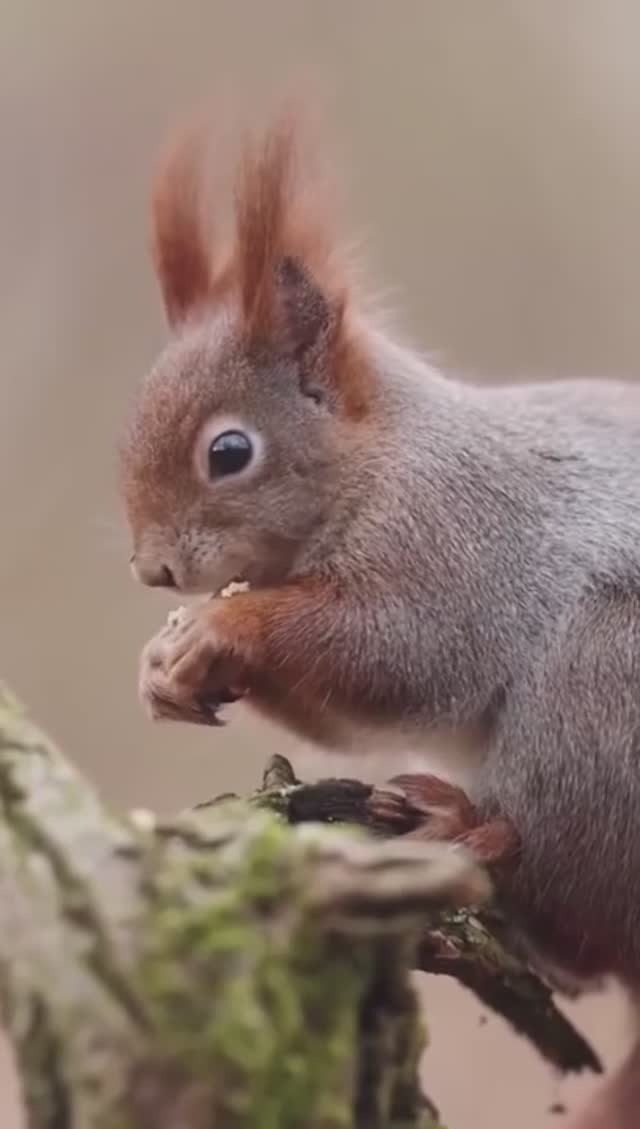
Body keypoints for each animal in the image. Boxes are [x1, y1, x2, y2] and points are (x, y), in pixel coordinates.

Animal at [120, 108, 640, 1128]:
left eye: (229, 452)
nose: (154, 568)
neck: (382, 458)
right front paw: (162, 665)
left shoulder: (453, 551)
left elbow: (393, 656)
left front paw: (220, 631)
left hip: (598, 701)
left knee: (571, 916)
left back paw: (470, 828)